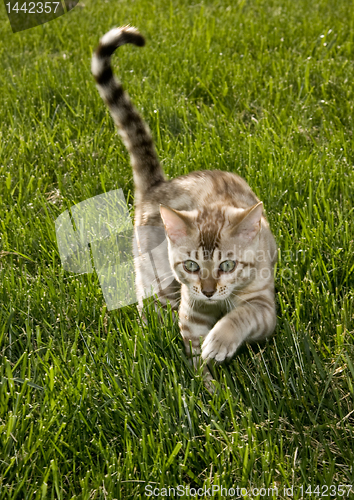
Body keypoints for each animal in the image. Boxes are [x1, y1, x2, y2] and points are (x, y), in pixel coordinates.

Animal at [90, 28, 276, 372]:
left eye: (227, 264)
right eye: (191, 265)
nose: (208, 291)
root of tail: (158, 186)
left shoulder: (264, 307)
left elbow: (241, 315)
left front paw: (219, 342)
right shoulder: (191, 311)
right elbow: (194, 354)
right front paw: (206, 381)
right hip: (155, 275)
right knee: (150, 306)